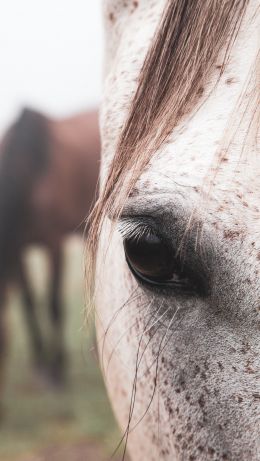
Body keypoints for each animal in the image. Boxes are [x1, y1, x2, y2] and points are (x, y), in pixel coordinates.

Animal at [0, 108, 99, 392]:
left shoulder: (54, 244)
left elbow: (54, 303)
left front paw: (57, 370)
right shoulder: (18, 251)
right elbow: (29, 303)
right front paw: (40, 365)